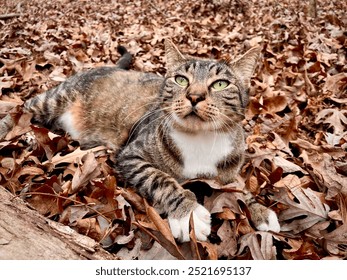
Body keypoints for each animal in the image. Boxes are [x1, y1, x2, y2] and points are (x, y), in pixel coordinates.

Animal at [23, 40, 280, 243]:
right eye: (181, 80)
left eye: (220, 84)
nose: (194, 96)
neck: (200, 138)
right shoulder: (130, 154)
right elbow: (160, 178)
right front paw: (188, 213)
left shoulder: (229, 168)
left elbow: (241, 187)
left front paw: (260, 211)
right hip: (54, 100)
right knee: (25, 106)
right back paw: (25, 130)